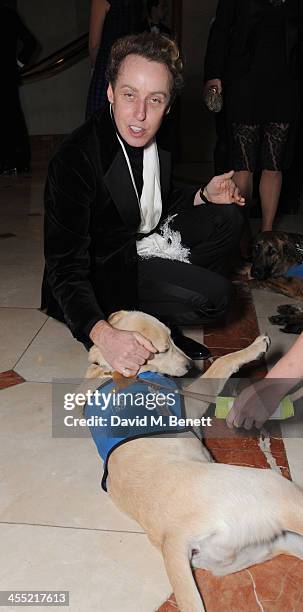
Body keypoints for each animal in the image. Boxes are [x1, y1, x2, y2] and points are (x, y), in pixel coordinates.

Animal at [85, 310, 303, 612]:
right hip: (279, 494)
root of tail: (173, 538)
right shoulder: (192, 404)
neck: (112, 370)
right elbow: (222, 363)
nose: (189, 365)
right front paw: (255, 348)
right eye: (163, 349)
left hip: (264, 546)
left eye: (174, 337)